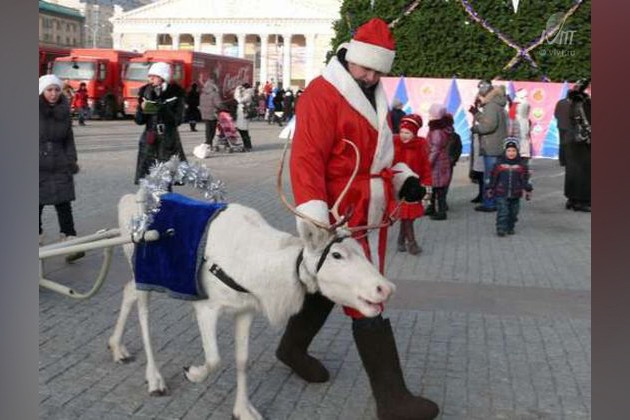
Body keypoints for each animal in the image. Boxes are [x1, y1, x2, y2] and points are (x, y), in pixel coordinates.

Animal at [107, 139, 397, 420]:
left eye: (361, 249)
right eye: (336, 254)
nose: (385, 288)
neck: (257, 269)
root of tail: (130, 200)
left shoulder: (245, 310)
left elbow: (242, 360)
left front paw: (243, 410)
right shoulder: (205, 306)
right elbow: (214, 359)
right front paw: (193, 372)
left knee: (127, 291)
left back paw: (117, 347)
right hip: (144, 270)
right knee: (143, 314)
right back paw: (154, 378)